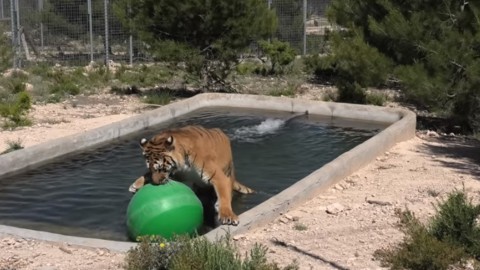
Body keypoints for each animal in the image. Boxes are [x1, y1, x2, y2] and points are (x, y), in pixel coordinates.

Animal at [127, 125, 255, 226]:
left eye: (160, 168)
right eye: (150, 168)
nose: (156, 183)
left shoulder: (219, 177)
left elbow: (224, 196)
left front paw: (227, 216)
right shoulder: (178, 174)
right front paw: (137, 184)